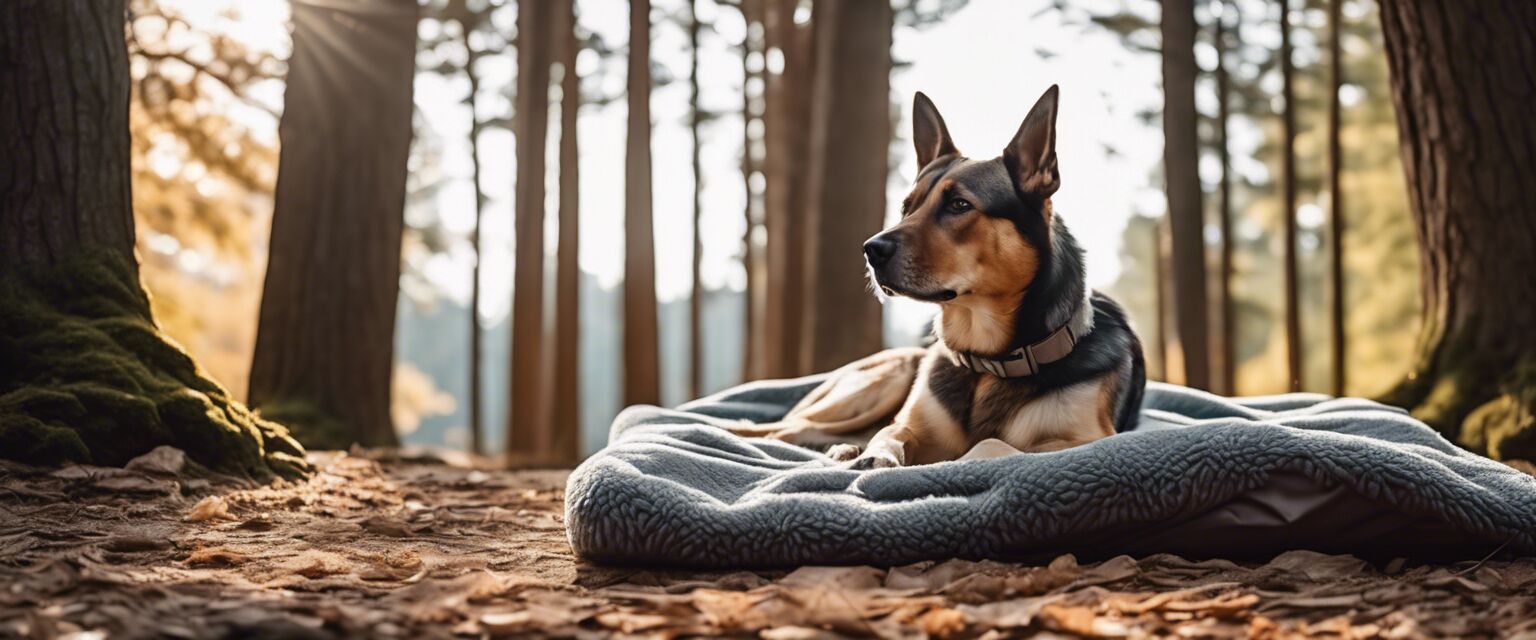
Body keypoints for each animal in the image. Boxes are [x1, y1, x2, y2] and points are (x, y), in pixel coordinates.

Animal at [737, 85, 1148, 469]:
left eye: (959, 205)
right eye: (906, 207)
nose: (870, 250)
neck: (990, 361)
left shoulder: (1089, 442)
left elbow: (990, 444)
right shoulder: (909, 423)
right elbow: (890, 434)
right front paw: (876, 457)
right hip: (889, 376)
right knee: (789, 430)